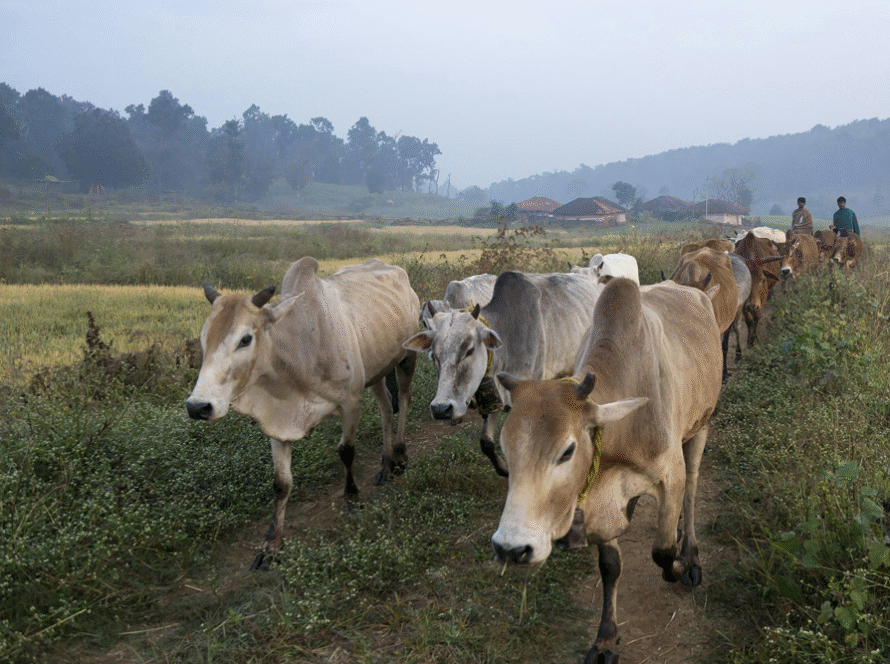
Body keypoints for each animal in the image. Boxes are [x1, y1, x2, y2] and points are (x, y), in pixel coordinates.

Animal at [185, 257, 420, 569]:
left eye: (245, 339)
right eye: (203, 339)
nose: (198, 406)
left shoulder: (350, 403)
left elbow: (346, 452)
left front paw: (352, 497)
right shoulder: (276, 423)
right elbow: (281, 482)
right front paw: (271, 544)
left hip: (407, 358)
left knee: (402, 401)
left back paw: (400, 455)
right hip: (377, 372)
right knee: (385, 409)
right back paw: (385, 464)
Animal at [402, 271, 602, 477]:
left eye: (469, 349)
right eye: (435, 355)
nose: (441, 409)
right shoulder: (494, 400)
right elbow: (486, 442)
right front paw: (504, 469)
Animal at [491, 277, 723, 664]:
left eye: (567, 451)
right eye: (506, 450)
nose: (511, 549)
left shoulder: (670, 476)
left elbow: (662, 551)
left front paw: (677, 565)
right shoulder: (598, 500)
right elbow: (610, 566)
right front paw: (605, 640)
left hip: (701, 426)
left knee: (691, 491)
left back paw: (690, 555)